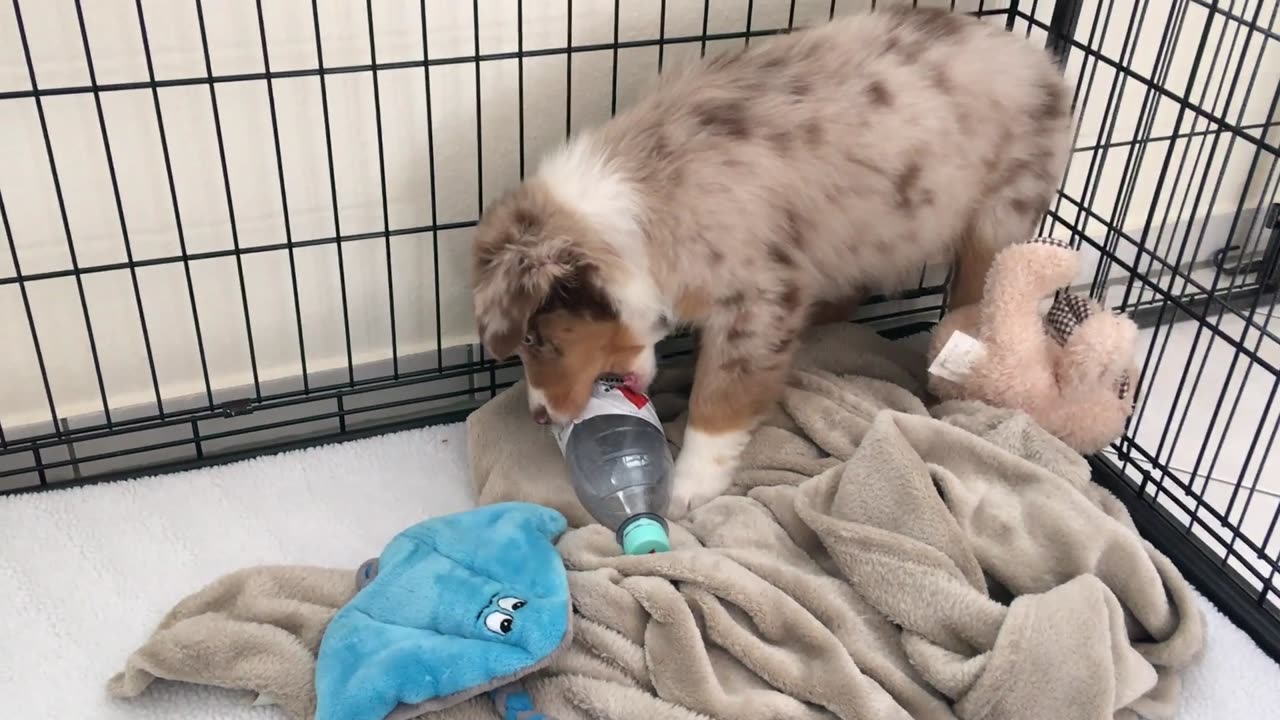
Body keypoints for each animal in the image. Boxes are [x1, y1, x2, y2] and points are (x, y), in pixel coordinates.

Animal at [468, 9, 1070, 515]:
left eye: (533, 340)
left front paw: (689, 486)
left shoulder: (757, 302)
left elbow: (720, 396)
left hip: (999, 212)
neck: (642, 210)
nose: (539, 416)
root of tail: (1043, 59)